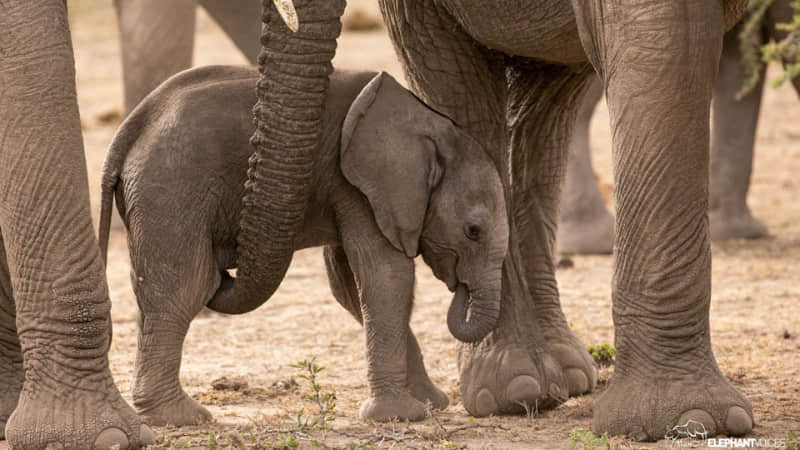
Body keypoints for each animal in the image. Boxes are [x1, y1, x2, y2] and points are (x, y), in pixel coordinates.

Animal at [100, 66, 510, 426]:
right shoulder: (359, 185)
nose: (460, 285)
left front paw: (431, 403)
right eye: (473, 231)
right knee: (188, 287)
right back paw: (183, 418)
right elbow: (385, 276)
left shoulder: (355, 191)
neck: (432, 126)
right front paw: (403, 415)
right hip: (171, 188)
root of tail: (128, 131)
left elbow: (349, 285)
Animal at [203, 0, 752, 440]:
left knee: (543, 107)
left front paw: (688, 421)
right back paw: (537, 383)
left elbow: (665, 46)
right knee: (510, 100)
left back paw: (557, 378)